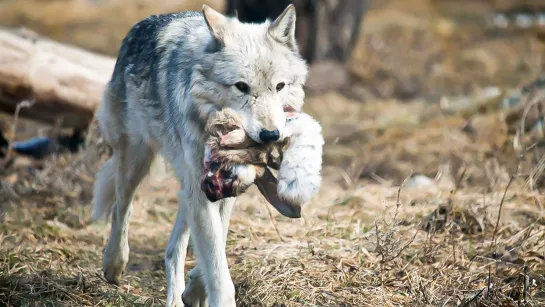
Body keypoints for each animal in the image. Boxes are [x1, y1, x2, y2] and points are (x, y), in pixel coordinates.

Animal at [89, 3, 318, 306]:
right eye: (241, 87)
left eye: (279, 87)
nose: (271, 135)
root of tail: (144, 23)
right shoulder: (202, 189)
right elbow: (217, 267)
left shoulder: (221, 188)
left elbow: (215, 244)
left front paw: (195, 290)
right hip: (136, 159)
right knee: (120, 208)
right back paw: (114, 264)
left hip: (185, 183)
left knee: (172, 248)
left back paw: (176, 297)